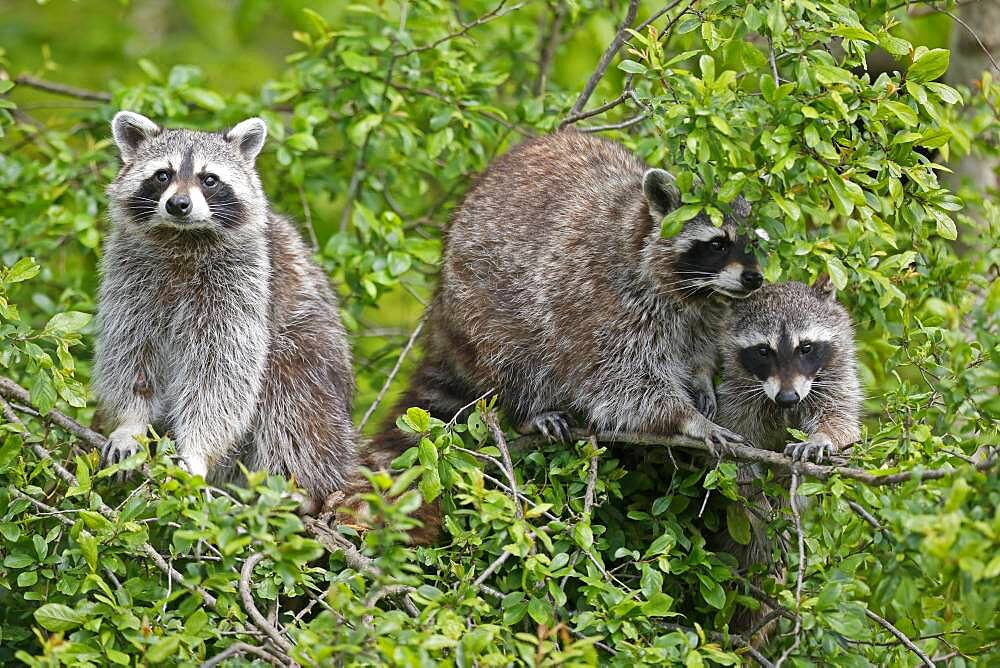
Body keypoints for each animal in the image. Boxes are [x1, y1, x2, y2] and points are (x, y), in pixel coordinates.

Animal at [94, 111, 358, 512]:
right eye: (163, 175)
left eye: (209, 179)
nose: (179, 205)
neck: (183, 239)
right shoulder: (131, 276)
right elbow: (131, 349)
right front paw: (131, 423)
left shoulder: (241, 287)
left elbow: (220, 376)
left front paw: (196, 452)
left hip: (311, 349)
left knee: (292, 402)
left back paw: (297, 490)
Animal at [372, 132, 760, 470]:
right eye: (717, 244)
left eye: (754, 244)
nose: (754, 278)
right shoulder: (603, 303)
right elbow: (624, 385)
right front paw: (685, 418)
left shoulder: (704, 311)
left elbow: (698, 347)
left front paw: (701, 377)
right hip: (479, 302)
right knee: (515, 356)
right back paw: (528, 410)